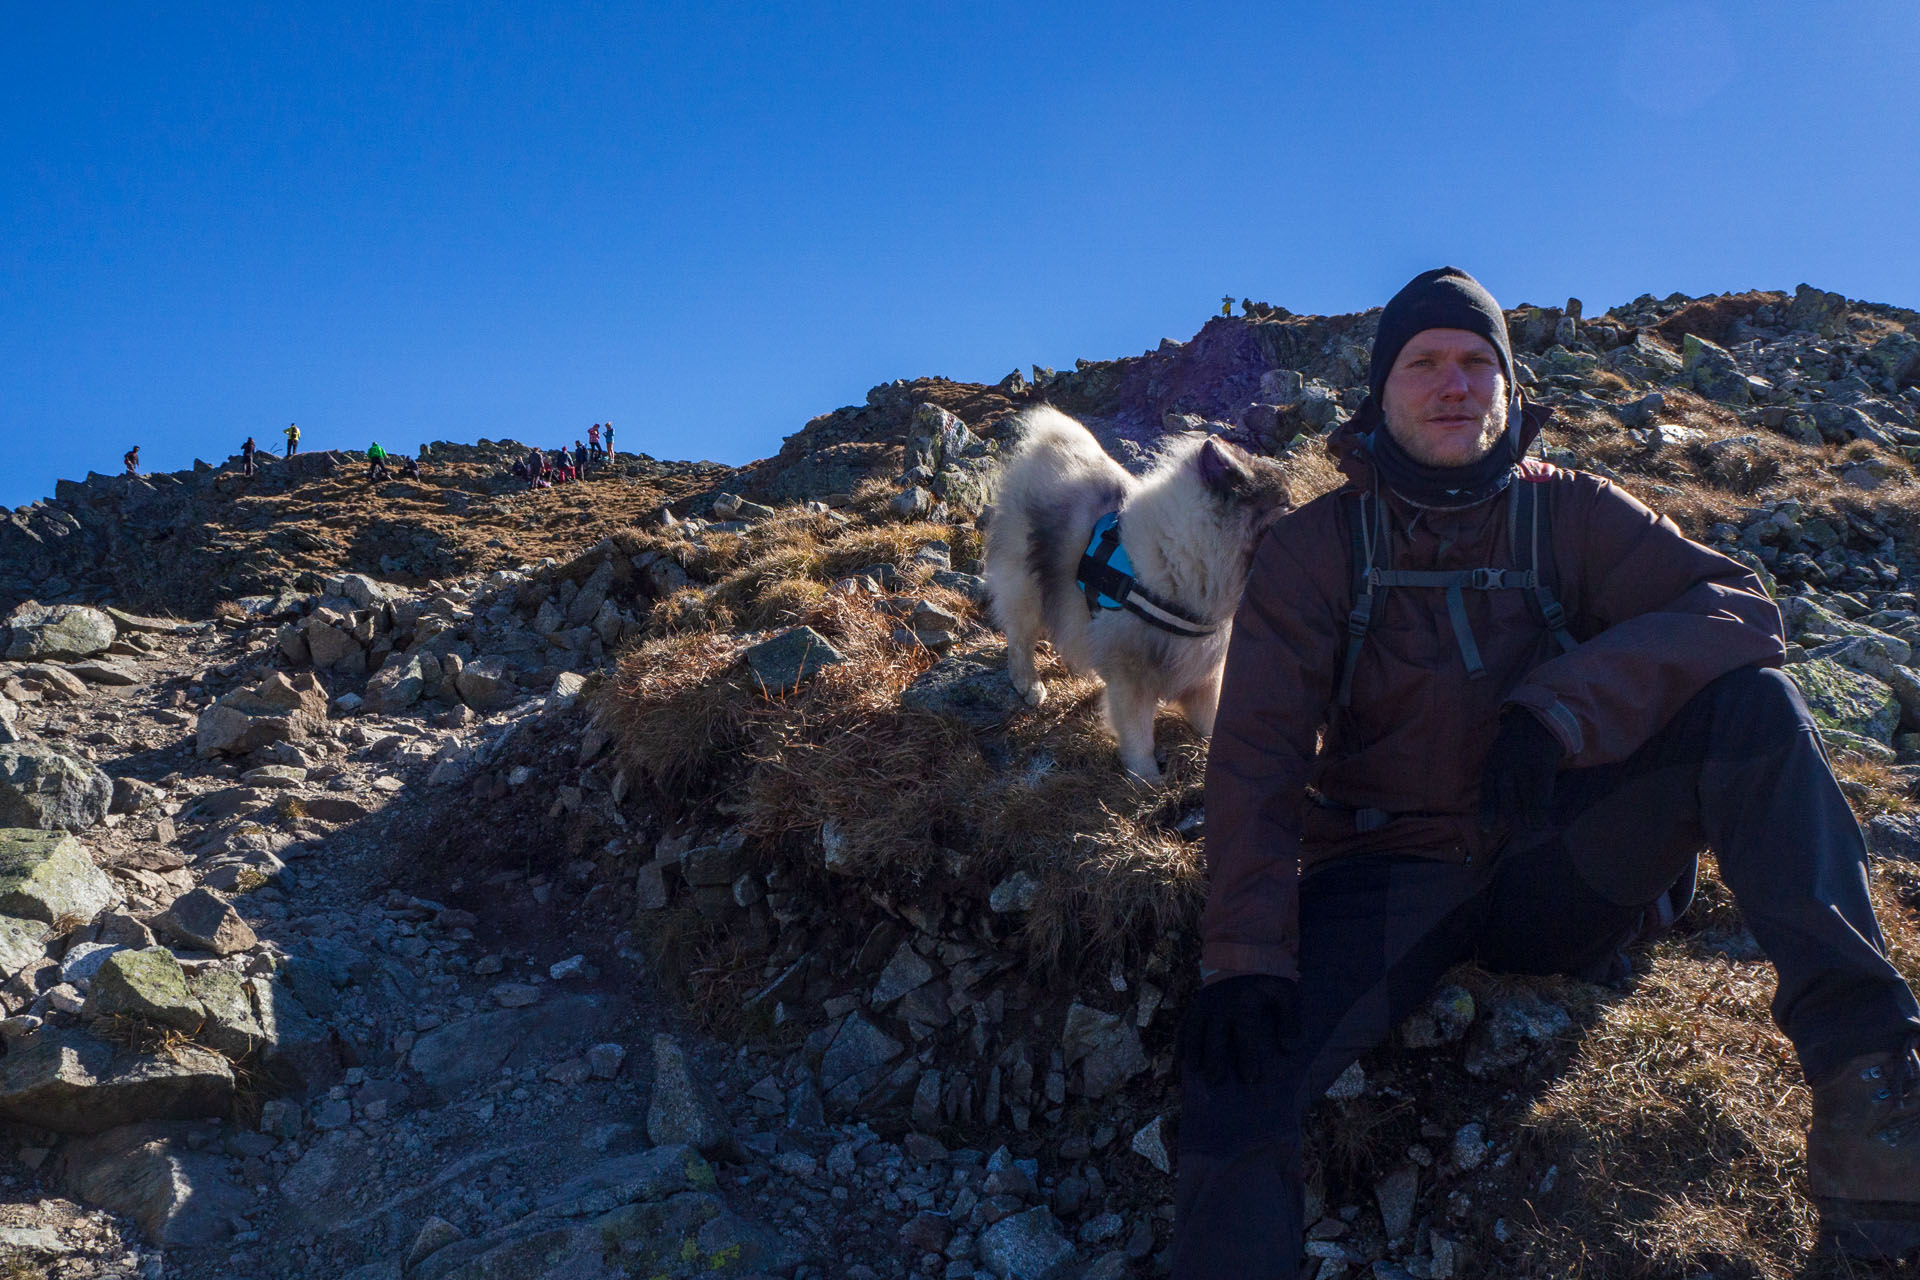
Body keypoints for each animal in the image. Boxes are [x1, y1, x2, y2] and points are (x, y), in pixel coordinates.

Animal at [990, 404, 1290, 782]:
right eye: (1285, 504)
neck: (1188, 556)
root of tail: (1051, 445)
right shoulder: (1133, 679)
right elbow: (1138, 736)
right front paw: (1147, 780)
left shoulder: (1203, 673)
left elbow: (1210, 721)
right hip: (1025, 588)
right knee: (1020, 640)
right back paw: (1029, 685)